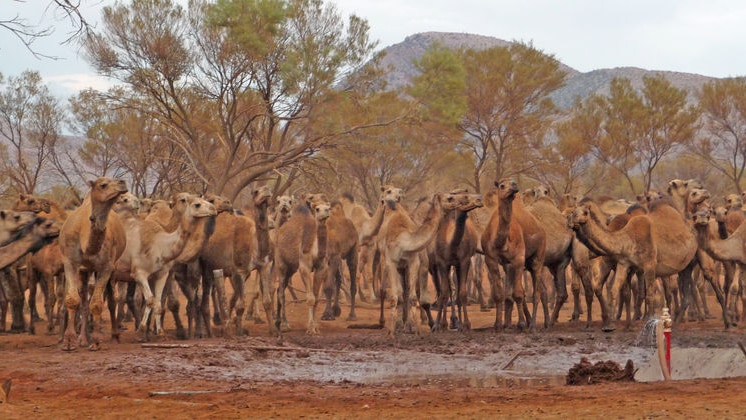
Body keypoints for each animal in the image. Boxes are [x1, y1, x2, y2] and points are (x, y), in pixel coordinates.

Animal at [58, 177, 128, 352]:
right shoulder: (70, 262)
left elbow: (97, 303)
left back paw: (114, 336)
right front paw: (69, 342)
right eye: (103, 185)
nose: (122, 182)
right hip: (85, 271)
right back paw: (83, 339)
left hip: (113, 267)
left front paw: (96, 342)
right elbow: (72, 299)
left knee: (111, 300)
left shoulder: (106, 267)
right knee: (84, 300)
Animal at [476, 178, 548, 332]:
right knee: (539, 290)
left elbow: (518, 294)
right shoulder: (491, 259)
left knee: (537, 292)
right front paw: (498, 325)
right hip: (521, 264)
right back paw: (545, 323)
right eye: (502, 185)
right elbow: (500, 294)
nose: (514, 186)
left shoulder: (518, 259)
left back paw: (533, 325)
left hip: (538, 257)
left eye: (513, 182)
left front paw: (521, 324)